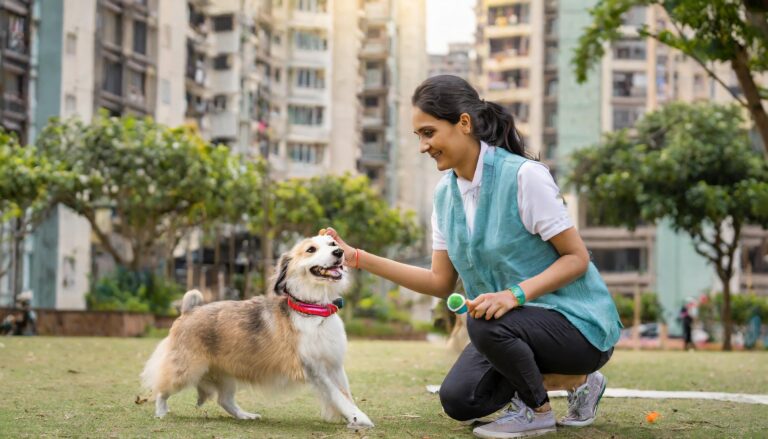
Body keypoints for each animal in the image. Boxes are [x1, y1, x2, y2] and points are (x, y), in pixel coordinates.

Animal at [142, 237, 376, 430]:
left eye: (332, 243)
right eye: (311, 249)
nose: (339, 252)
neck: (313, 310)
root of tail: (188, 310)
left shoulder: (334, 366)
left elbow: (345, 394)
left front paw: (351, 417)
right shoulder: (314, 369)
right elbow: (338, 395)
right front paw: (360, 418)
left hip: (226, 374)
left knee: (224, 400)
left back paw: (244, 415)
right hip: (185, 371)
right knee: (161, 389)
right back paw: (161, 412)